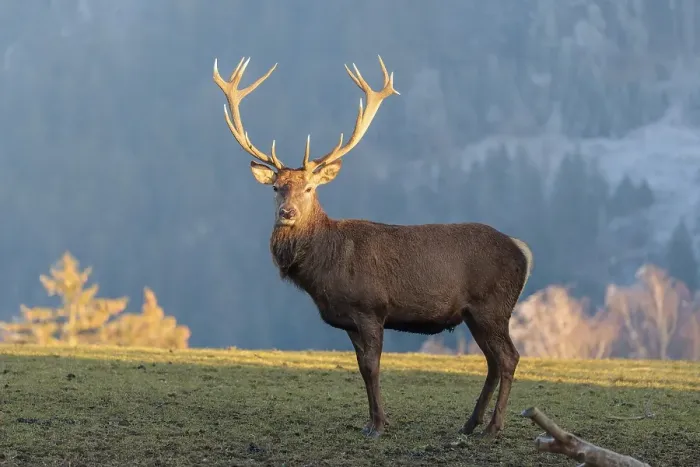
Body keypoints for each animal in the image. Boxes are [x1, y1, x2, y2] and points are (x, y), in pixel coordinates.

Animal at [213, 55, 533, 438]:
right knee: (493, 362)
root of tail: (523, 251)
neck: (324, 266)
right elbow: (361, 369)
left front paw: (379, 425)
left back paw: (493, 427)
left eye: (309, 188)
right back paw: (470, 424)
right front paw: (371, 420)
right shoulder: (350, 321)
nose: (286, 213)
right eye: (276, 188)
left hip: (493, 306)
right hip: (476, 313)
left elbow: (372, 367)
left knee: (509, 357)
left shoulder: (370, 308)